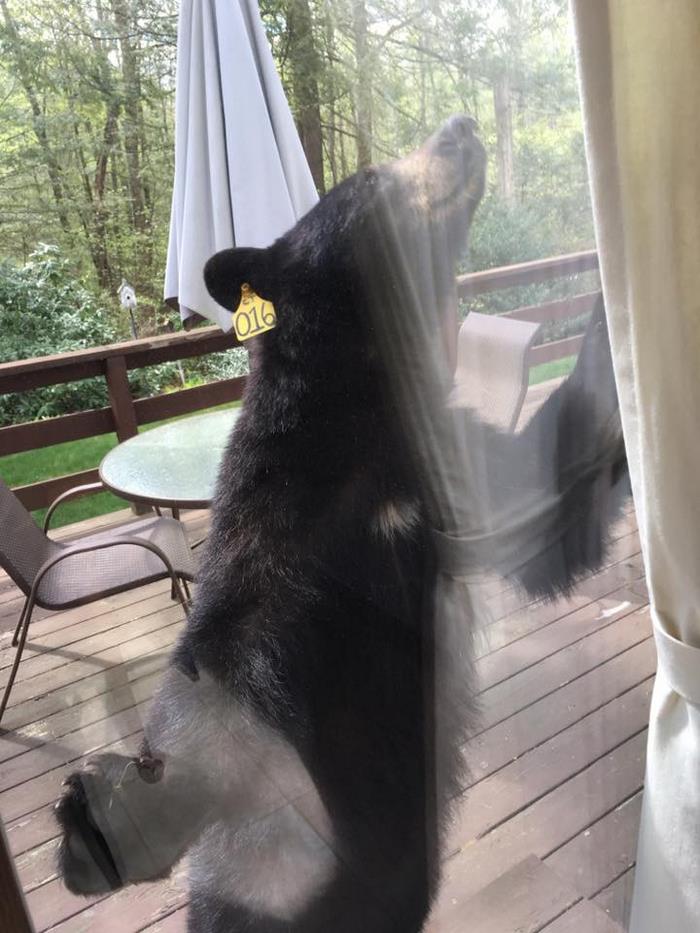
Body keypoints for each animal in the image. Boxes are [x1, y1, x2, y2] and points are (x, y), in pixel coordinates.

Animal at [55, 115, 628, 932]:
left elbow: (548, 511)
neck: (366, 413)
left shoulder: (449, 468)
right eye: (372, 179)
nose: (460, 126)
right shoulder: (271, 542)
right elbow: (223, 666)